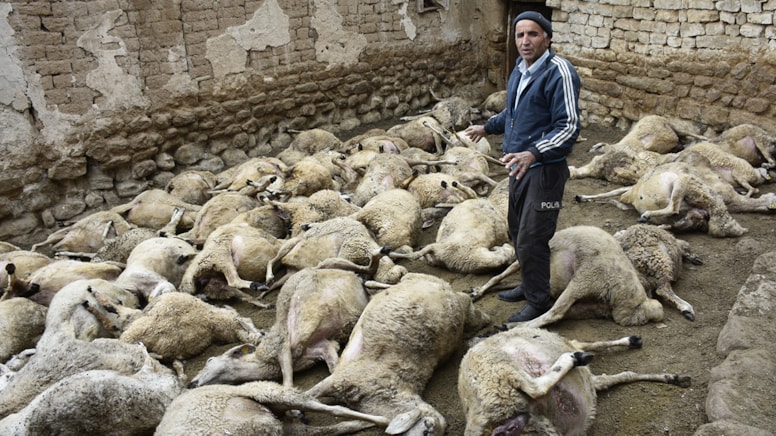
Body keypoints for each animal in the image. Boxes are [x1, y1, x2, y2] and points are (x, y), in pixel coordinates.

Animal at [458, 328, 688, 436]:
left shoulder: (593, 381)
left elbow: (623, 375)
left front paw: (673, 378)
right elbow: (598, 350)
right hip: (495, 371)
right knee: (535, 388)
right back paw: (572, 359)